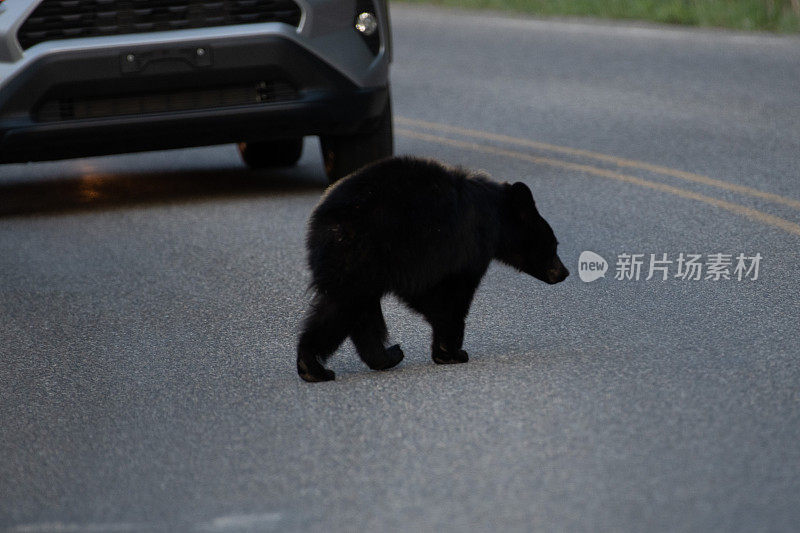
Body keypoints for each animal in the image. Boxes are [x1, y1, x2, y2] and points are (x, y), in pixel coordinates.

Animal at [296, 156, 568, 380]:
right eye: (553, 244)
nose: (564, 273)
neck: (495, 216)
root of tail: (326, 219)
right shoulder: (457, 248)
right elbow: (449, 295)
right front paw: (451, 351)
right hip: (367, 253)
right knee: (345, 307)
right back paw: (317, 368)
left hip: (358, 264)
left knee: (354, 308)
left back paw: (378, 357)